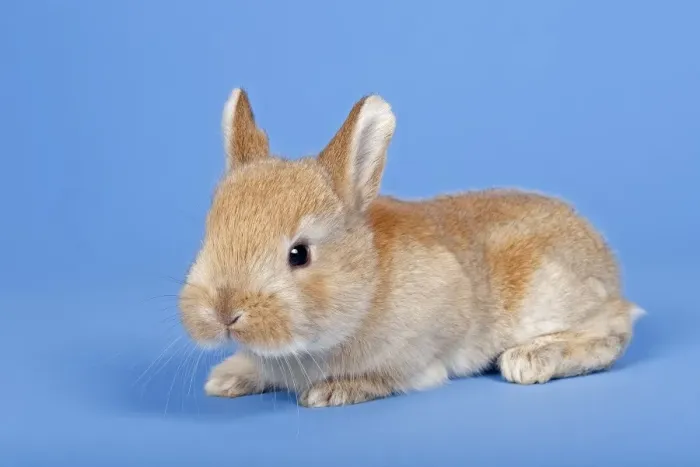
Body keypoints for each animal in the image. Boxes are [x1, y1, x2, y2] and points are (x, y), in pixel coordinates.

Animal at [178, 88, 644, 408]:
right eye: (209, 236)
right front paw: (227, 378)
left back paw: (530, 359)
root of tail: (608, 266)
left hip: (550, 295)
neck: (368, 285)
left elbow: (394, 376)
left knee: (611, 335)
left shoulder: (423, 343)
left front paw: (335, 391)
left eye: (300, 254)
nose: (223, 312)